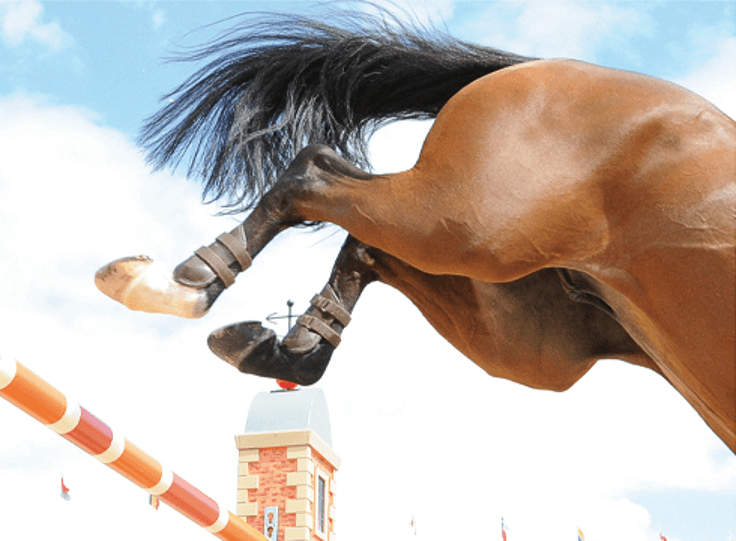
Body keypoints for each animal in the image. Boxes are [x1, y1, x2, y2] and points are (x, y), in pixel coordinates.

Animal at [94, 8, 735, 452]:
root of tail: (538, 65)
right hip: (468, 220)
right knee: (315, 173)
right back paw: (179, 284)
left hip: (537, 337)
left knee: (366, 245)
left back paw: (288, 350)